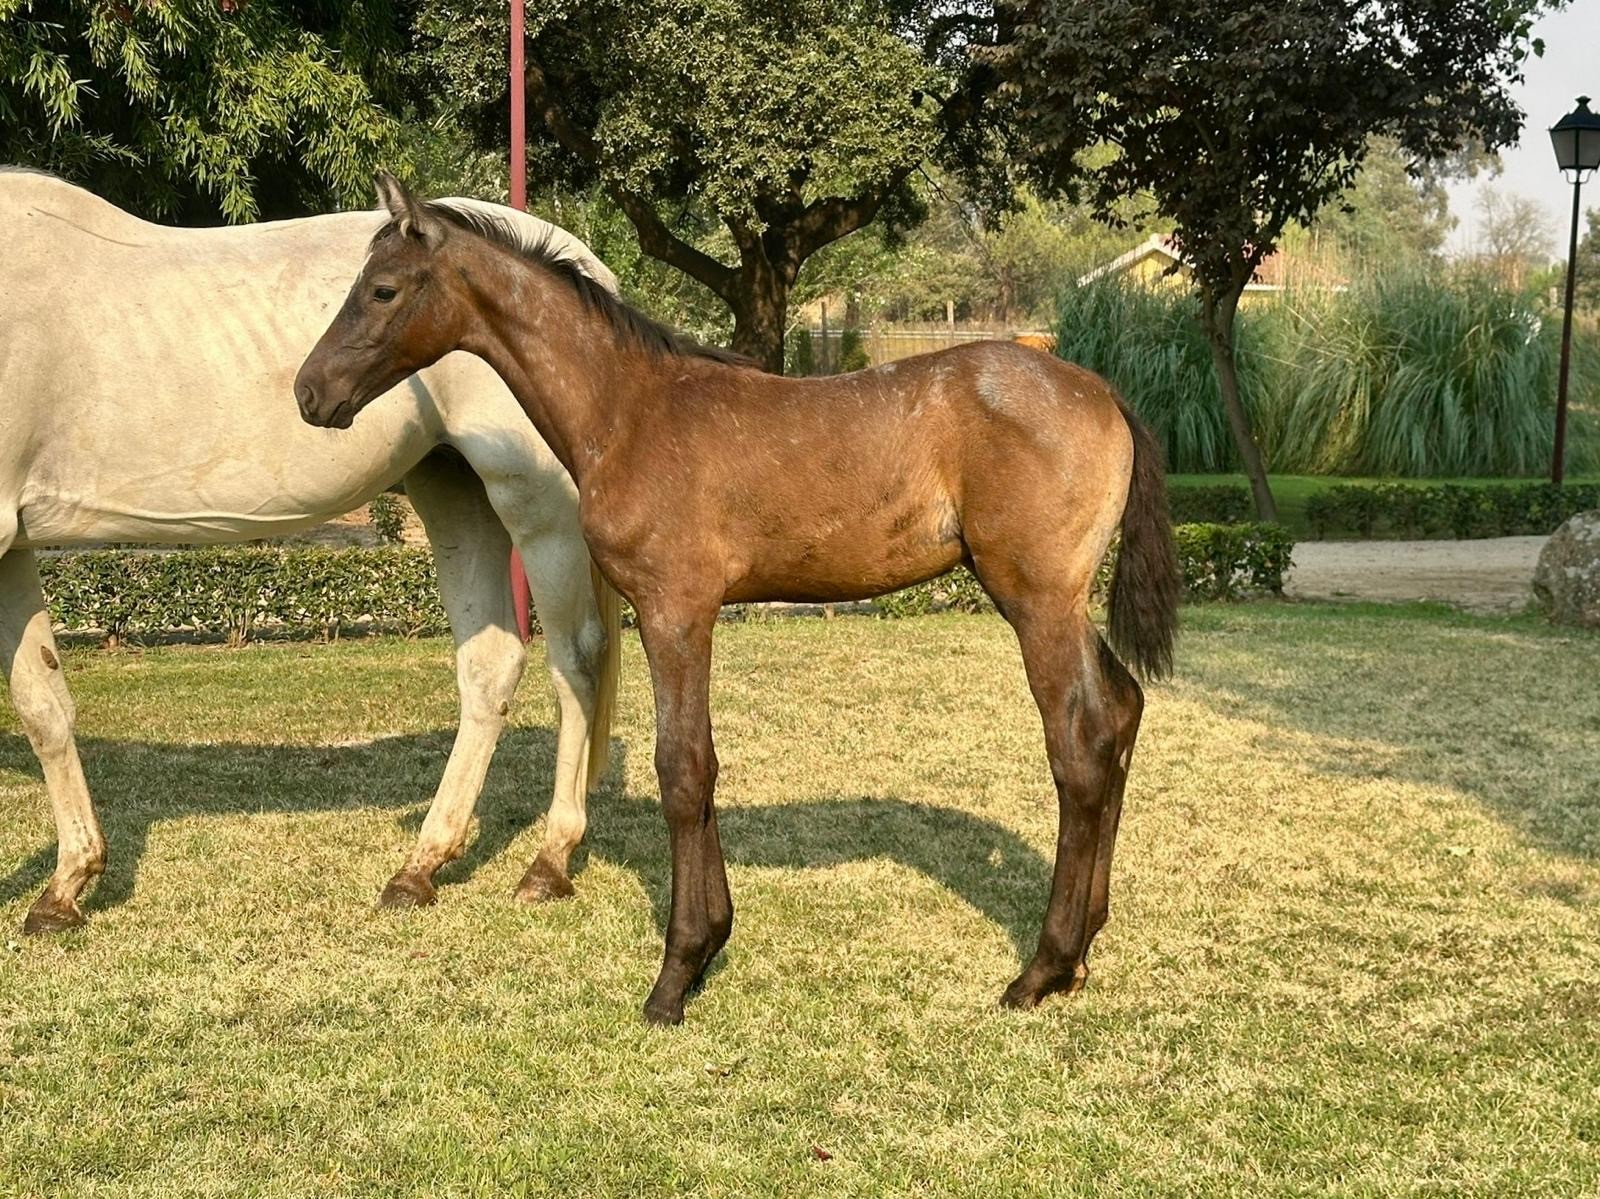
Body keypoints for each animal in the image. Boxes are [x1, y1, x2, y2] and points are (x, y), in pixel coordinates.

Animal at [0, 168, 623, 934]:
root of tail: (585, 268)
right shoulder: (11, 548)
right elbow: (44, 705)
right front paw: (65, 886)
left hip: (536, 506)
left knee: (576, 660)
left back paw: (550, 860)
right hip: (454, 491)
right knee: (492, 665)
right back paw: (419, 868)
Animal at [297, 174, 1181, 1025]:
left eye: (382, 288)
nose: (311, 392)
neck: (629, 408)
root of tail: (1105, 396)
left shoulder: (675, 608)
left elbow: (684, 768)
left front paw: (678, 971)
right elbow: (700, 764)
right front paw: (707, 944)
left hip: (1036, 601)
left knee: (1080, 743)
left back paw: (1042, 968)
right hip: (1061, 604)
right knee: (1122, 710)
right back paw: (1082, 953)